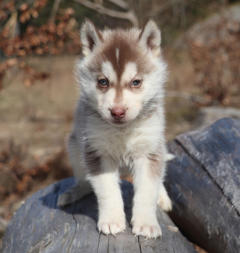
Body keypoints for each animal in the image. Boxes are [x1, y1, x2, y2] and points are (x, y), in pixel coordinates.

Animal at [65, 19, 172, 237]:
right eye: (103, 82)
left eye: (136, 82)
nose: (117, 112)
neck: (123, 131)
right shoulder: (97, 152)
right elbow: (107, 191)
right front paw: (112, 220)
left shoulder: (148, 152)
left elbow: (147, 191)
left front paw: (146, 223)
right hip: (73, 147)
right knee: (83, 177)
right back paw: (75, 191)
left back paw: (162, 196)